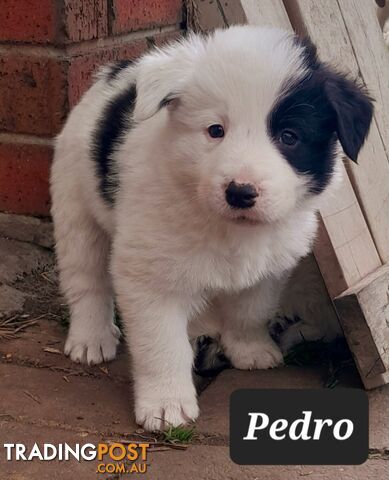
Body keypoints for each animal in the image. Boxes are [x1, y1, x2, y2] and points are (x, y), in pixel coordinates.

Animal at [50, 25, 372, 432]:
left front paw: (249, 348)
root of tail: (117, 71)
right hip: (76, 206)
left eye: (289, 136)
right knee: (86, 278)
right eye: (215, 130)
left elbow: (251, 309)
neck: (227, 226)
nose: (240, 192)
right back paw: (91, 338)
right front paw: (166, 403)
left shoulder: (271, 265)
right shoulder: (149, 273)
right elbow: (161, 343)